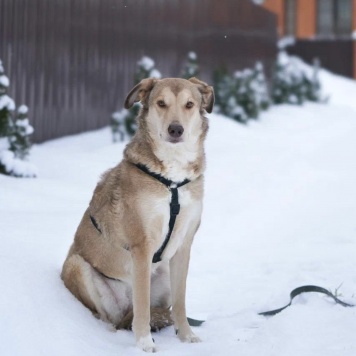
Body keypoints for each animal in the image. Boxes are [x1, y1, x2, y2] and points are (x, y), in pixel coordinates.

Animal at [61, 76, 214, 352]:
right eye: (161, 103)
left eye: (189, 104)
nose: (176, 130)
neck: (172, 180)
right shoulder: (142, 246)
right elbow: (142, 305)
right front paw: (144, 343)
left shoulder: (184, 245)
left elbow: (181, 302)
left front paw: (186, 336)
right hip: (76, 266)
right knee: (112, 317)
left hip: (164, 274)